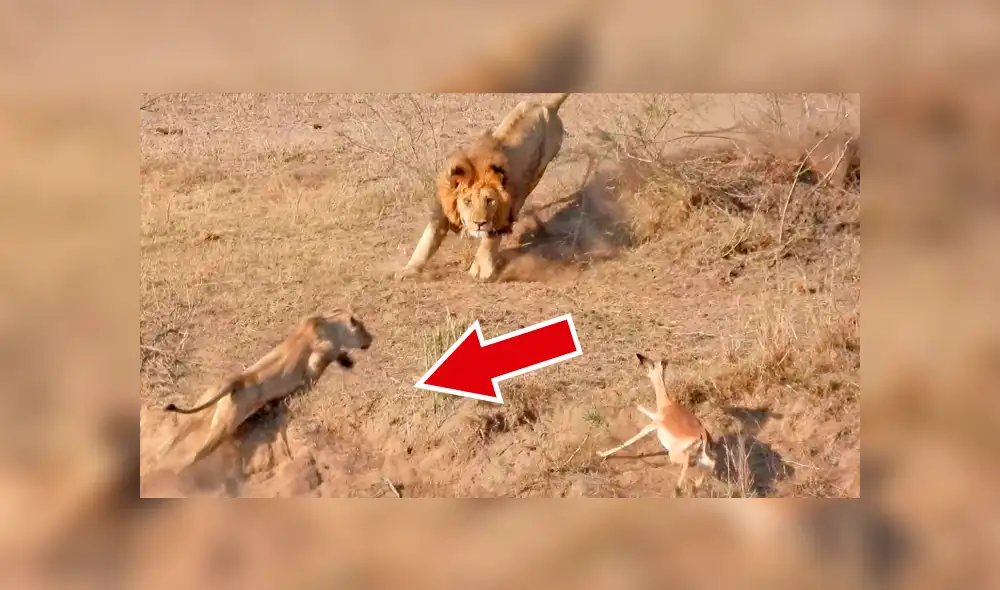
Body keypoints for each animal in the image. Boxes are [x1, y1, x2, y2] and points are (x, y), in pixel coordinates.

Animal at [158, 310, 373, 469]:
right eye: (363, 329)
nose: (371, 338)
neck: (331, 325)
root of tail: (235, 381)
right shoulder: (317, 361)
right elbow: (324, 362)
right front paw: (347, 362)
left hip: (202, 412)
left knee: (172, 440)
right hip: (224, 426)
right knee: (193, 455)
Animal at [395, 92, 572, 281]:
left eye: (490, 201)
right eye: (467, 201)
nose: (479, 223)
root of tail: (547, 104)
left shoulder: (502, 213)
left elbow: (490, 239)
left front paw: (481, 269)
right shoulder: (442, 211)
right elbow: (426, 241)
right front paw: (409, 269)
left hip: (540, 167)